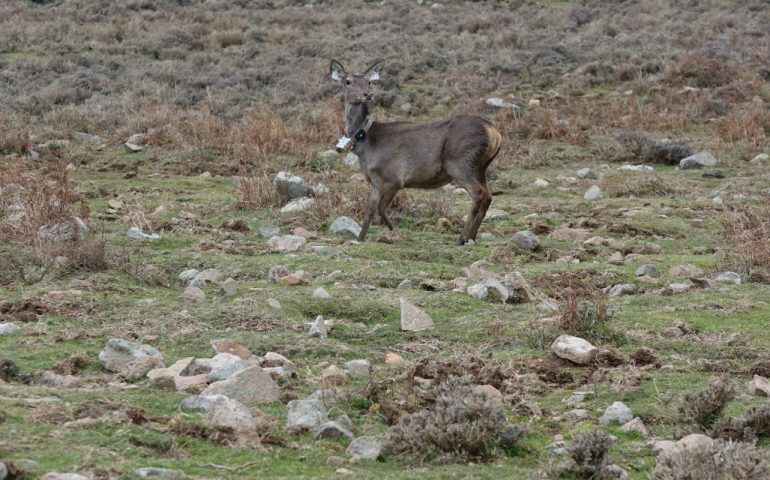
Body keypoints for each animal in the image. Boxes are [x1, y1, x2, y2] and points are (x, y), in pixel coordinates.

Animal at [328, 59, 498, 246]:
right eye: (348, 81)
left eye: (369, 81)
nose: (368, 94)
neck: (366, 144)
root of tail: (493, 132)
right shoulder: (376, 181)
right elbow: (371, 211)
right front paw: (363, 238)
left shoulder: (394, 178)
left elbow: (379, 209)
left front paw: (396, 234)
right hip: (480, 167)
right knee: (488, 196)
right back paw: (471, 236)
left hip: (459, 163)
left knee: (478, 194)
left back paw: (463, 237)